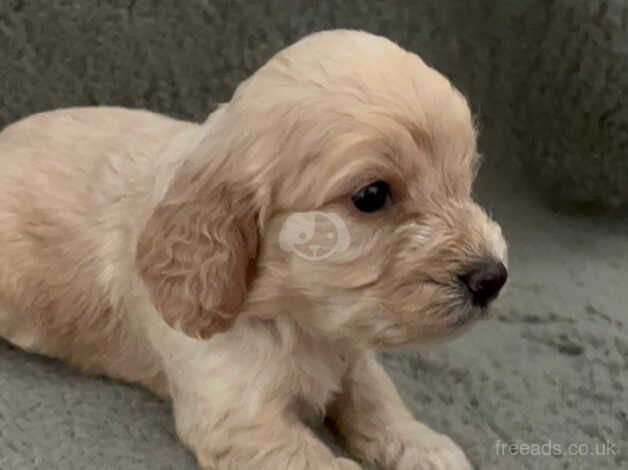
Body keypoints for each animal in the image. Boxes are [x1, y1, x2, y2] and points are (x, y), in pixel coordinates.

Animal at [0, 31, 506, 468]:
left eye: (464, 180)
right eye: (372, 196)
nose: (493, 278)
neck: (299, 319)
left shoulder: (353, 349)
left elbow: (378, 398)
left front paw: (424, 445)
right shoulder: (240, 417)